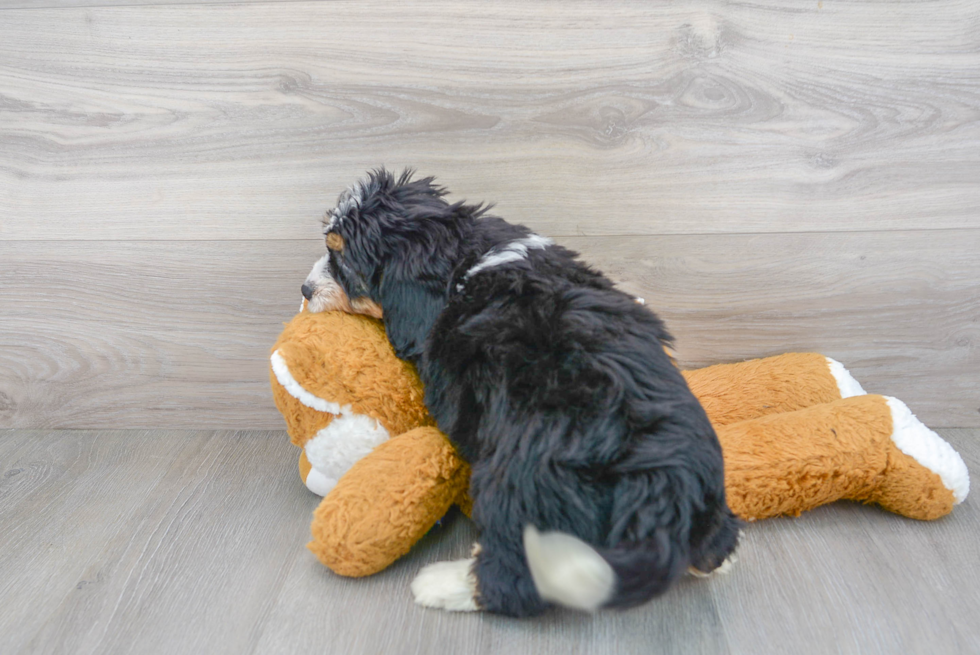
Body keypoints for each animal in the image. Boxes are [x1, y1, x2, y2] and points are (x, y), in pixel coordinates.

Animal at [302, 169, 740, 620]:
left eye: (342, 260)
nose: (305, 289)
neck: (465, 262)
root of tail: (659, 485)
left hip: (517, 486)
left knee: (519, 578)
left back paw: (442, 583)